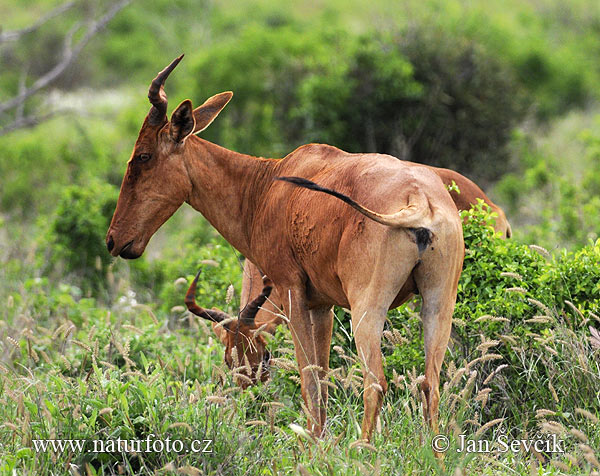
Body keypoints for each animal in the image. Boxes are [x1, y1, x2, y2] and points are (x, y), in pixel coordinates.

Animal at [106, 55, 464, 442]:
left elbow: (308, 380)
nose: (114, 240)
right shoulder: (322, 305)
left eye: (142, 156)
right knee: (431, 383)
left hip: (367, 307)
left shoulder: (291, 290)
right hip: (438, 303)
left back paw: (363, 449)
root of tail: (419, 198)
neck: (268, 185)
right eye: (230, 358)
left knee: (375, 383)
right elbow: (322, 377)